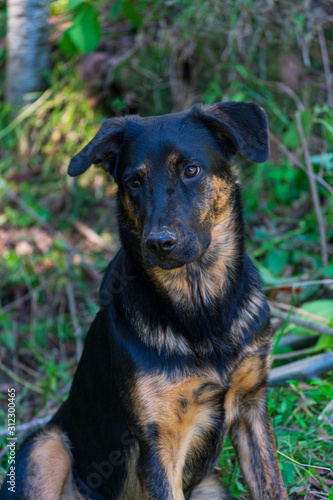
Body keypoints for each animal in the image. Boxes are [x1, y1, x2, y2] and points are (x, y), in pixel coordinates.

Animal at [1, 102, 288, 500]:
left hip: (211, 488)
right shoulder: (158, 440)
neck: (201, 306)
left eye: (191, 170)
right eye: (134, 182)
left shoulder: (252, 406)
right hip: (47, 446)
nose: (158, 243)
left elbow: (273, 485)